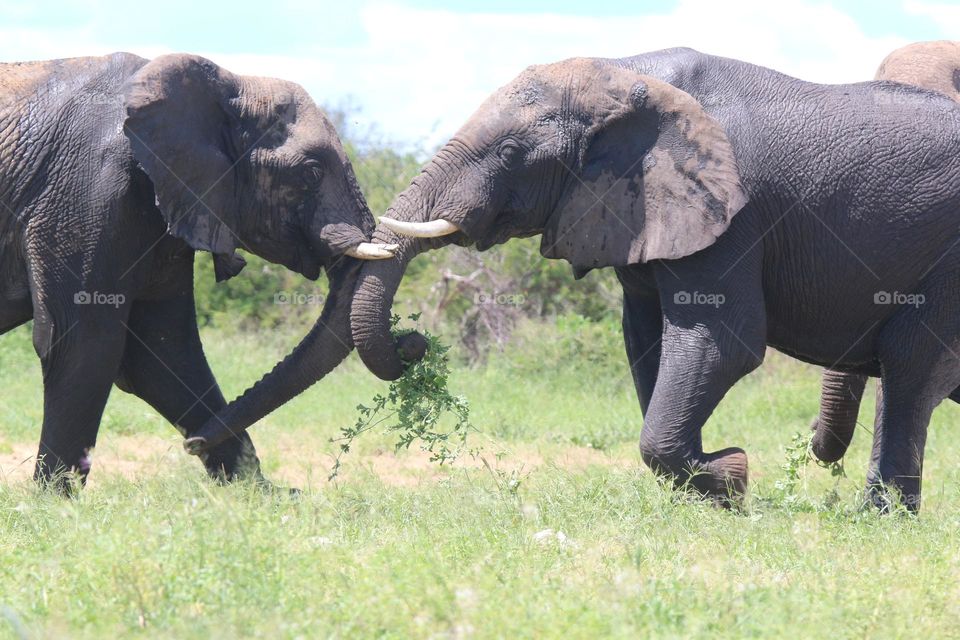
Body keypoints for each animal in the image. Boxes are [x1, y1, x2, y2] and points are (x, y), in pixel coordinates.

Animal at [0, 52, 398, 489]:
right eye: (311, 172)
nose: (191, 444)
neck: (230, 83)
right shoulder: (87, 190)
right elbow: (81, 342)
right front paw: (55, 500)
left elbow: (162, 351)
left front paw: (256, 495)